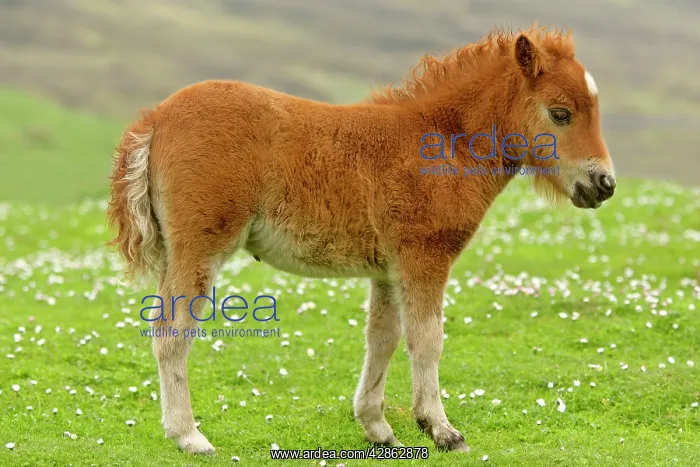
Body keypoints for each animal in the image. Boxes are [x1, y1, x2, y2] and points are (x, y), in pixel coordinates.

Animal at [107, 26, 616, 454]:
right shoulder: (424, 258)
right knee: (172, 331)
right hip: (201, 246)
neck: (444, 143)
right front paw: (441, 429)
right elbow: (427, 339)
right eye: (560, 113)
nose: (604, 184)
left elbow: (383, 339)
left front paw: (377, 427)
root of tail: (156, 118)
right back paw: (189, 436)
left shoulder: (388, 270)